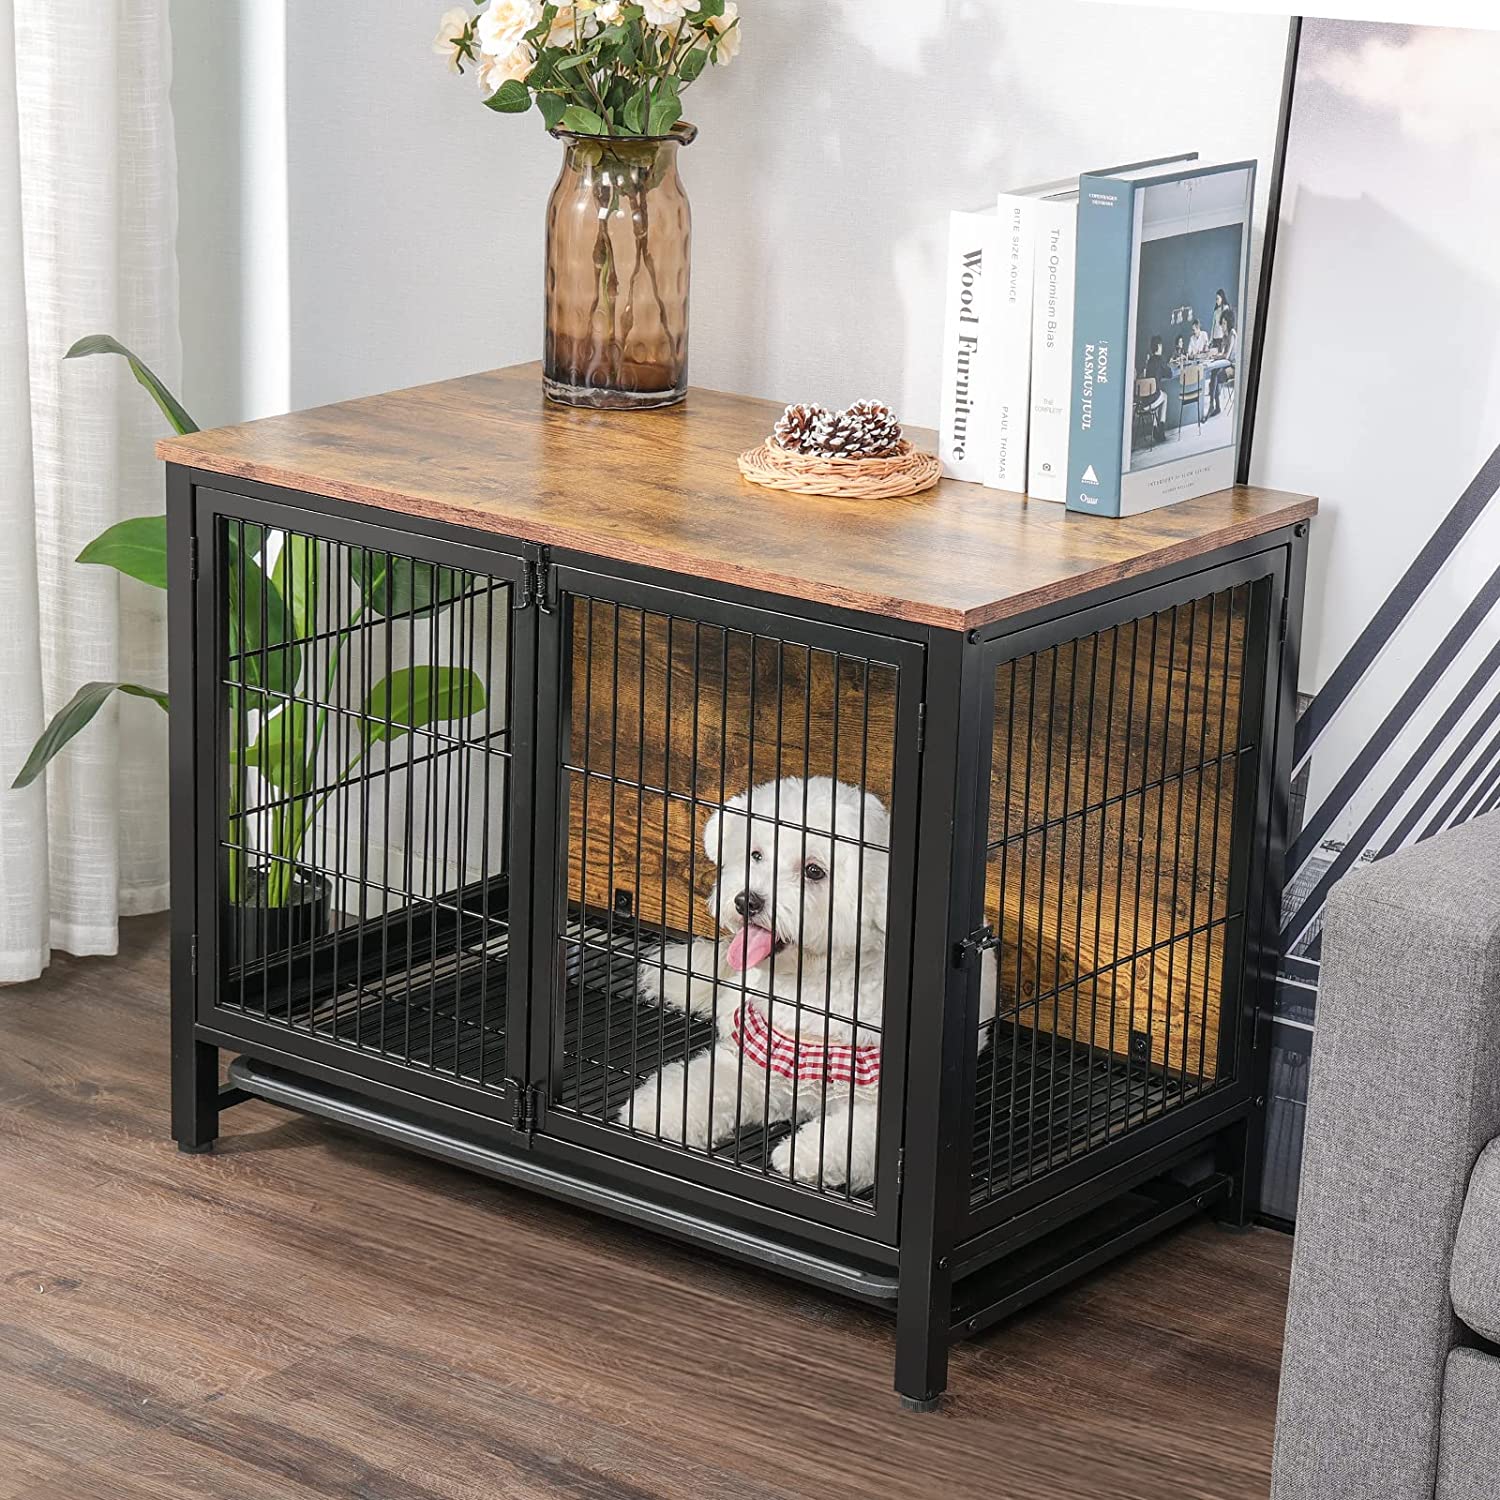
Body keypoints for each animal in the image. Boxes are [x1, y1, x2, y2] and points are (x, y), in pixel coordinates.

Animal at [615, 774, 990, 1194]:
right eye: (756, 855)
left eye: (814, 871)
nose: (746, 901)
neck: (812, 990)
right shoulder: (754, 1065)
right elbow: (699, 1084)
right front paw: (655, 1109)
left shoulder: (883, 1106)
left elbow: (853, 1138)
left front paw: (805, 1155)